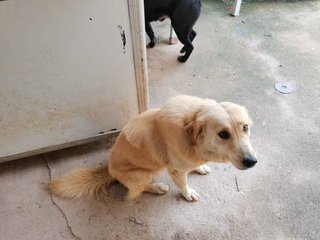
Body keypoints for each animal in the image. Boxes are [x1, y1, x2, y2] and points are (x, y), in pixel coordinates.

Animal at [48, 94, 256, 202]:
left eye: (245, 128)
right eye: (223, 134)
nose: (252, 162)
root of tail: (108, 169)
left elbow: (194, 165)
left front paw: (200, 167)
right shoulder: (176, 170)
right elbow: (183, 184)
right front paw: (188, 194)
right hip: (144, 173)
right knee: (135, 191)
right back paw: (156, 188)